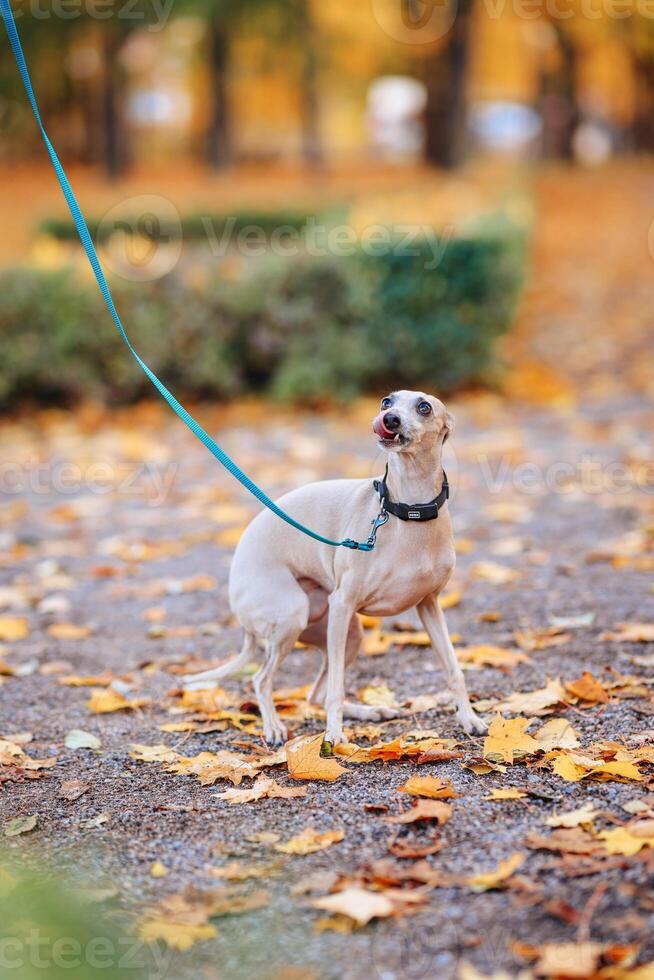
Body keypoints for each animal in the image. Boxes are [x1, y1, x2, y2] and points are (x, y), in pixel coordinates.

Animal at [184, 390, 486, 744]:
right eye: (386, 401)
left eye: (424, 407)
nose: (389, 419)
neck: (408, 511)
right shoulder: (342, 604)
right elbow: (335, 688)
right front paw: (334, 736)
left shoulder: (430, 605)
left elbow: (454, 668)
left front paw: (469, 718)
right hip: (295, 616)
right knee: (263, 679)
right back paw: (274, 726)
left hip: (347, 633)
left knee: (313, 693)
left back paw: (370, 712)